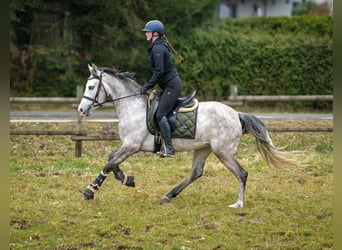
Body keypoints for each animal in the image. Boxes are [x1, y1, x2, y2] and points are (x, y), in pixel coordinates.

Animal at [77, 63, 296, 208]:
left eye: (91, 87)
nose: (81, 110)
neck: (133, 106)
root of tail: (236, 114)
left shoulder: (131, 145)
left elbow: (110, 162)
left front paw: (90, 190)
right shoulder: (128, 145)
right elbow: (112, 159)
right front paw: (125, 178)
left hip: (223, 152)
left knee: (241, 174)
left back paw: (238, 204)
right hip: (203, 148)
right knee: (195, 173)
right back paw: (168, 196)